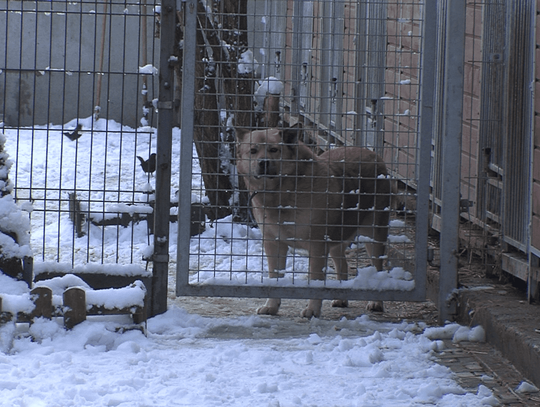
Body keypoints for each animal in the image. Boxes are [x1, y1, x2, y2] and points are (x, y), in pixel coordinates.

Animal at [234, 127, 390, 318]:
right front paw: (271, 306)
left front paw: (312, 310)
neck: (282, 193)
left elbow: (315, 279)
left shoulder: (317, 245)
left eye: (274, 150)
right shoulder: (273, 243)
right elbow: (275, 276)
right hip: (337, 238)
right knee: (342, 265)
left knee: (378, 268)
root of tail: (372, 154)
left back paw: (376, 302)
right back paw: (341, 298)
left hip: (373, 236)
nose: (263, 163)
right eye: (253, 151)